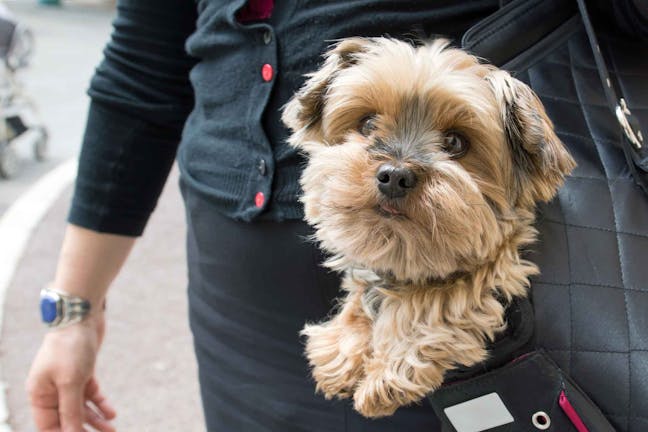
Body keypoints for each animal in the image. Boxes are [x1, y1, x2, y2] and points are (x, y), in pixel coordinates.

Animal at [280, 38, 576, 418]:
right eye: (367, 124)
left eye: (455, 143)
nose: (394, 175)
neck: (403, 249)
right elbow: (363, 288)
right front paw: (344, 348)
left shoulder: (502, 257)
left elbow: (443, 296)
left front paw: (387, 372)